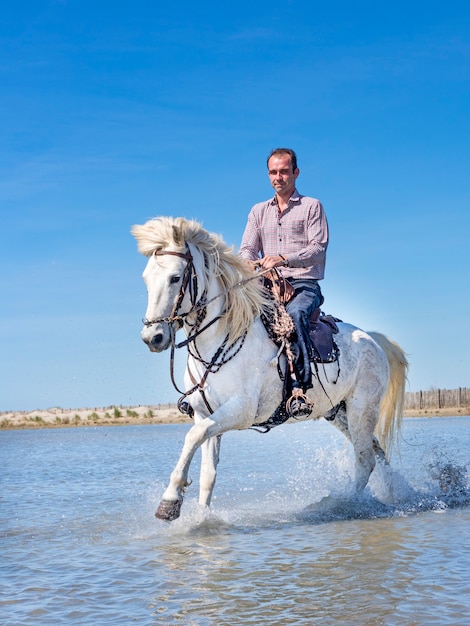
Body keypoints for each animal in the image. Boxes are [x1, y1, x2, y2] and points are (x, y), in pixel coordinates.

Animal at [132, 217, 408, 520]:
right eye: (145, 279)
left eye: (175, 277)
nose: (153, 337)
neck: (220, 338)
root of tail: (372, 339)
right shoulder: (205, 415)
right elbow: (207, 471)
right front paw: (200, 518)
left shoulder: (240, 410)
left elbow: (191, 437)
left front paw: (169, 501)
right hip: (339, 413)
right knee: (376, 452)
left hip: (362, 409)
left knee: (365, 459)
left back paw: (348, 504)